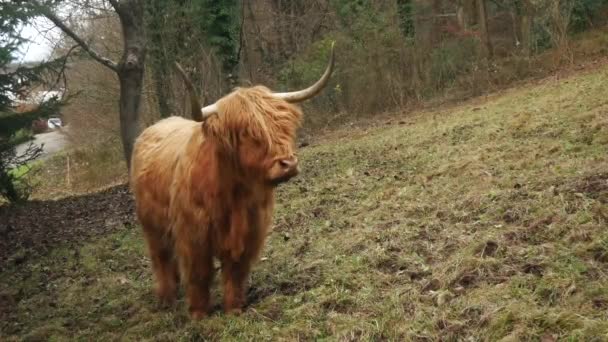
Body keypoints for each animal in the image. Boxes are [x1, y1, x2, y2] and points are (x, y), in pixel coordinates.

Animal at [130, 44, 334, 318]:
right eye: (248, 133)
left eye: (284, 126)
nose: (288, 164)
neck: (233, 194)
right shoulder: (193, 235)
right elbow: (199, 274)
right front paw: (198, 314)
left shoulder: (250, 231)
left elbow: (235, 271)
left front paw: (234, 309)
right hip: (152, 227)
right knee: (161, 258)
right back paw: (166, 299)